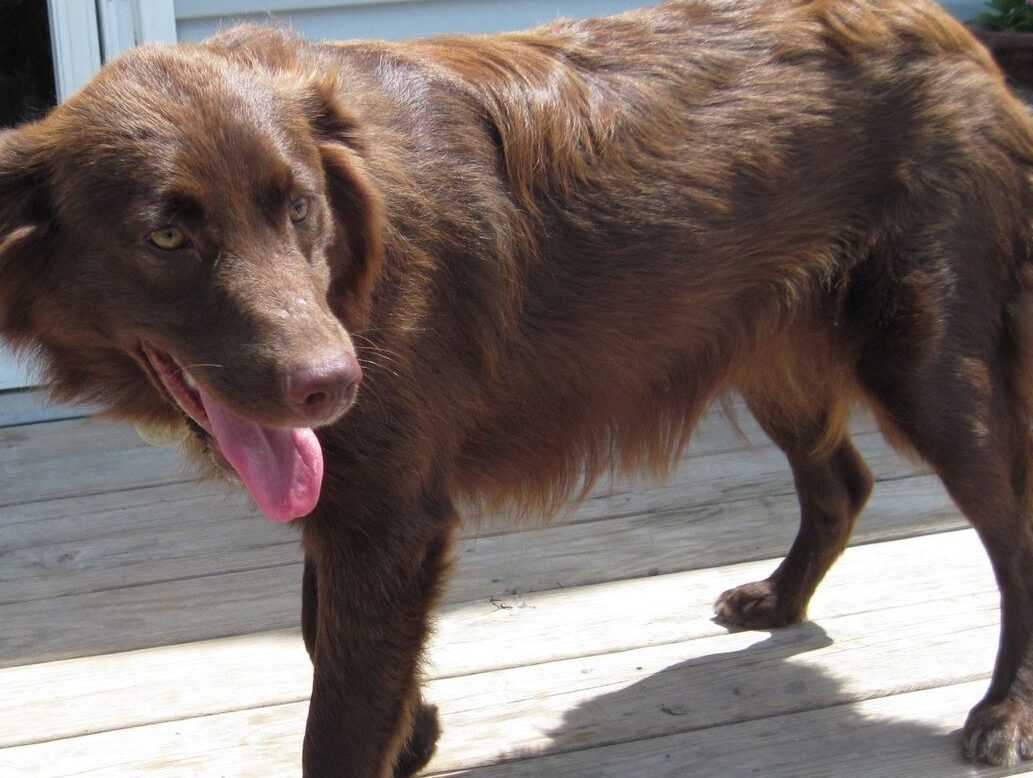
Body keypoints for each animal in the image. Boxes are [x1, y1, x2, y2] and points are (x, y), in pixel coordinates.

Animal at [2, 0, 1033, 772]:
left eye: (298, 208)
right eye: (166, 235)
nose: (333, 385)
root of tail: (960, 37)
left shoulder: (388, 509)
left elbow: (336, 712)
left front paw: (392, 733)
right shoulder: (356, 495)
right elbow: (319, 633)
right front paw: (415, 730)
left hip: (926, 362)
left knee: (1009, 530)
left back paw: (1004, 712)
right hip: (762, 340)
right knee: (841, 484)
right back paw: (778, 601)